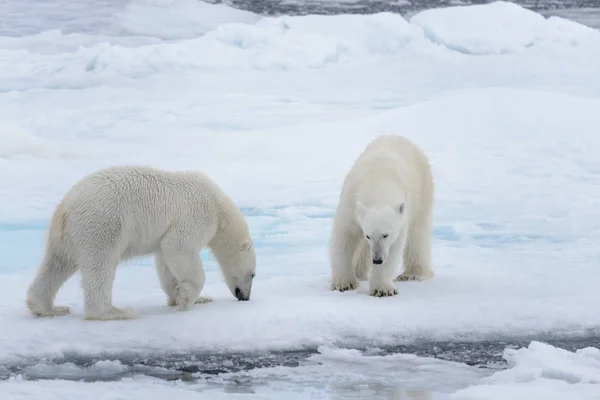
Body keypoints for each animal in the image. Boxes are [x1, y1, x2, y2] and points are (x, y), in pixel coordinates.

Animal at [26, 164, 255, 320]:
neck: (219, 208)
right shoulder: (196, 216)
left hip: (65, 236)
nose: (245, 297)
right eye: (253, 275)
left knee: (56, 264)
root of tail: (66, 206)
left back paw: (48, 308)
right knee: (100, 265)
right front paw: (187, 297)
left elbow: (165, 261)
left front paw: (192, 298)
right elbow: (179, 247)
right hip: (102, 224)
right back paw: (116, 312)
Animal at [330, 136, 434, 296]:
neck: (377, 183)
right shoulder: (351, 203)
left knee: (417, 234)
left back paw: (412, 274)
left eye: (386, 235)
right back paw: (359, 272)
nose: (377, 259)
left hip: (423, 191)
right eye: (368, 236)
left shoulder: (400, 219)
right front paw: (344, 284)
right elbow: (345, 237)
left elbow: (394, 249)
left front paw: (382, 289)